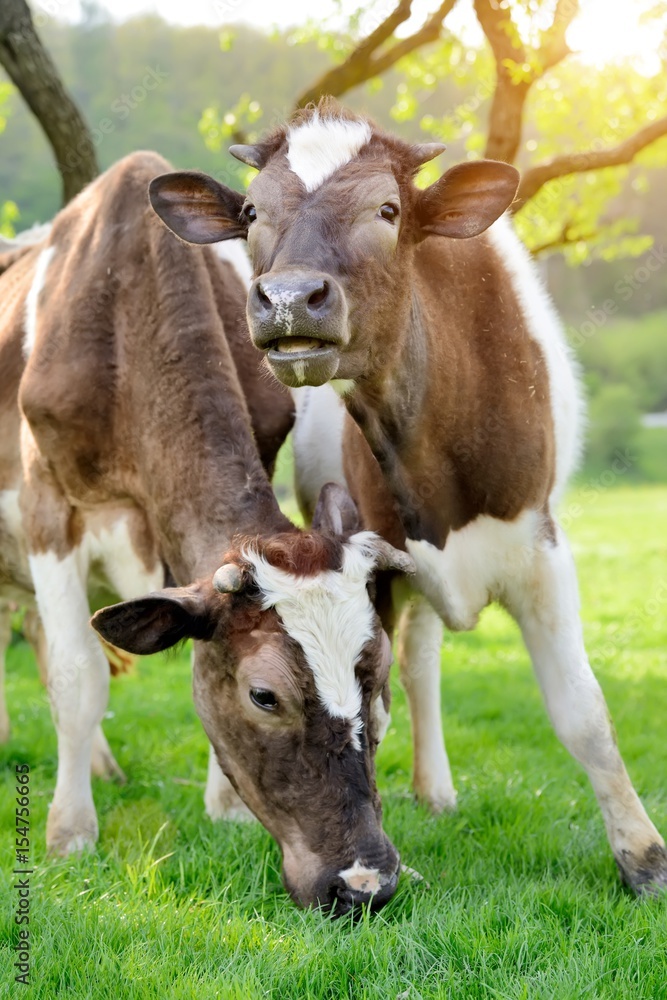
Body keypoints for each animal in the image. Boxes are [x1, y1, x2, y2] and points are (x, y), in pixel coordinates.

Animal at [0, 148, 414, 916]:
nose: (365, 883)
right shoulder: (49, 510)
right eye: (264, 696)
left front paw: (223, 805)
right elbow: (78, 674)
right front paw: (70, 831)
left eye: (376, 671)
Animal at [150, 101, 667, 896]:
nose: (288, 299)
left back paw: (435, 790)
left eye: (388, 210)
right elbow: (372, 706)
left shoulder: (541, 549)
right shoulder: (370, 564)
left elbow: (582, 713)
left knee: (423, 657)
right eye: (252, 212)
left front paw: (643, 862)